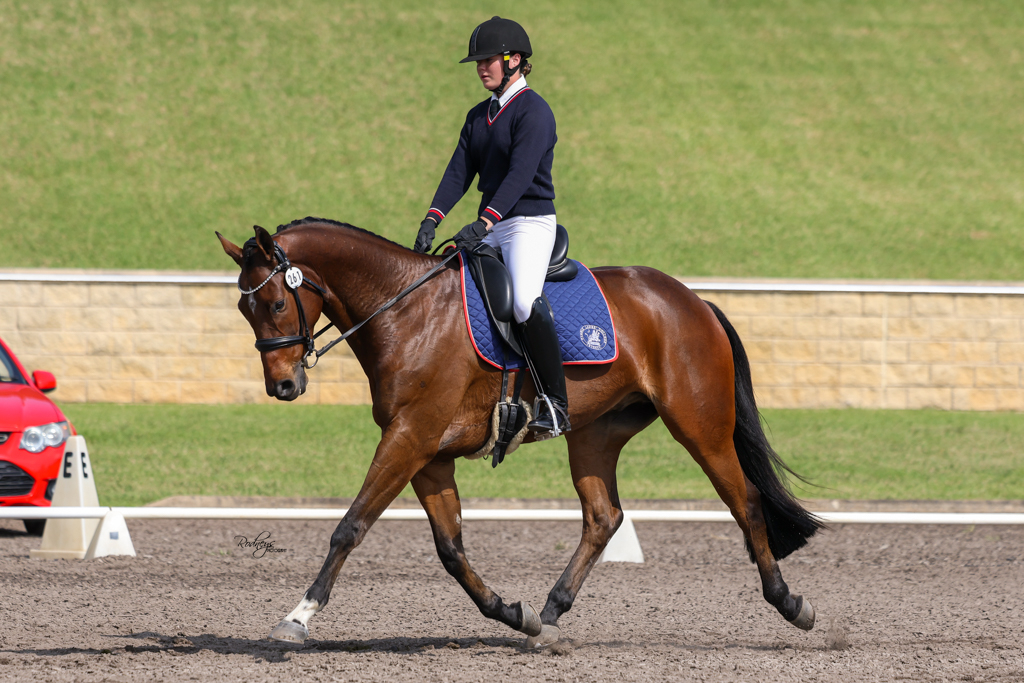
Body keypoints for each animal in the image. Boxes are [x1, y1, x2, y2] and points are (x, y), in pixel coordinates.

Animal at [216, 217, 822, 647]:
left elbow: (350, 526)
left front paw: (298, 617)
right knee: (603, 517)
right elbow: (451, 548)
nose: (283, 386)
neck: (406, 312)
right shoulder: (428, 453)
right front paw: (514, 614)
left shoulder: (409, 438)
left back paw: (791, 604)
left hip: (701, 427)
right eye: (245, 311)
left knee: (745, 502)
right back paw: (550, 615)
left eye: (276, 302)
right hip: (595, 435)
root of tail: (693, 300)